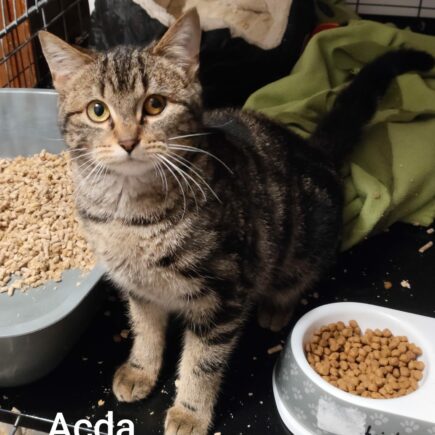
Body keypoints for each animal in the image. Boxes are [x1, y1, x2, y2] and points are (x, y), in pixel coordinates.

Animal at [38, 9, 433, 435]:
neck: (128, 213)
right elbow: (145, 331)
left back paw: (276, 306)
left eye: (155, 105)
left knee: (299, 275)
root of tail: (313, 149)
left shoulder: (223, 295)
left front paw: (190, 412)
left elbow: (202, 361)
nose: (128, 141)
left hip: (304, 240)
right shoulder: (138, 288)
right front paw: (140, 369)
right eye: (98, 110)